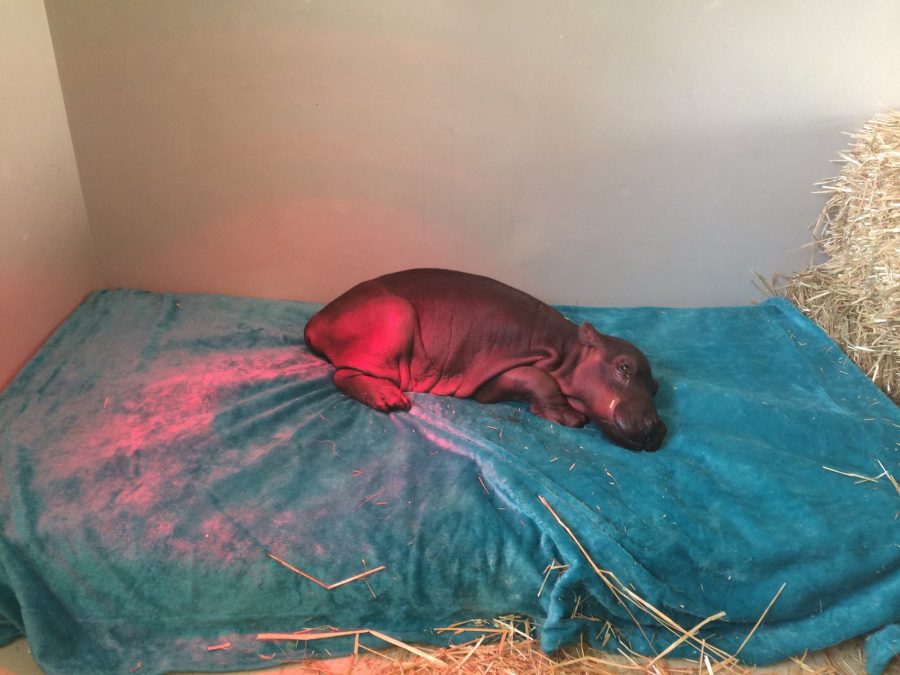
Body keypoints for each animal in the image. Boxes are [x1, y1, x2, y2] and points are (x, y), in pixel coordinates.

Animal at [304, 269, 666, 451]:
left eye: (657, 388)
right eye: (623, 366)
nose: (656, 428)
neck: (571, 353)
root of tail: (316, 320)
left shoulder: (495, 381)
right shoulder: (503, 370)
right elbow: (540, 379)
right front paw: (571, 418)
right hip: (396, 314)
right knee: (343, 374)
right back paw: (389, 399)